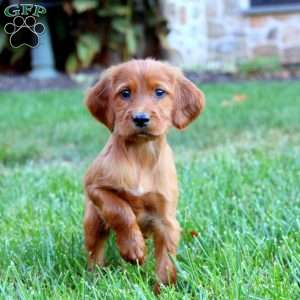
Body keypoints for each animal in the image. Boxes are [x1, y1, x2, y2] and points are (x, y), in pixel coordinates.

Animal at [83, 58, 205, 290]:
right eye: (125, 93)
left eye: (159, 92)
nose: (140, 118)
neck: (141, 155)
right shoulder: (94, 186)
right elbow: (119, 209)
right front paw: (133, 249)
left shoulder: (167, 221)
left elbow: (166, 263)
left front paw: (163, 290)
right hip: (92, 220)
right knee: (95, 251)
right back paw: (96, 279)